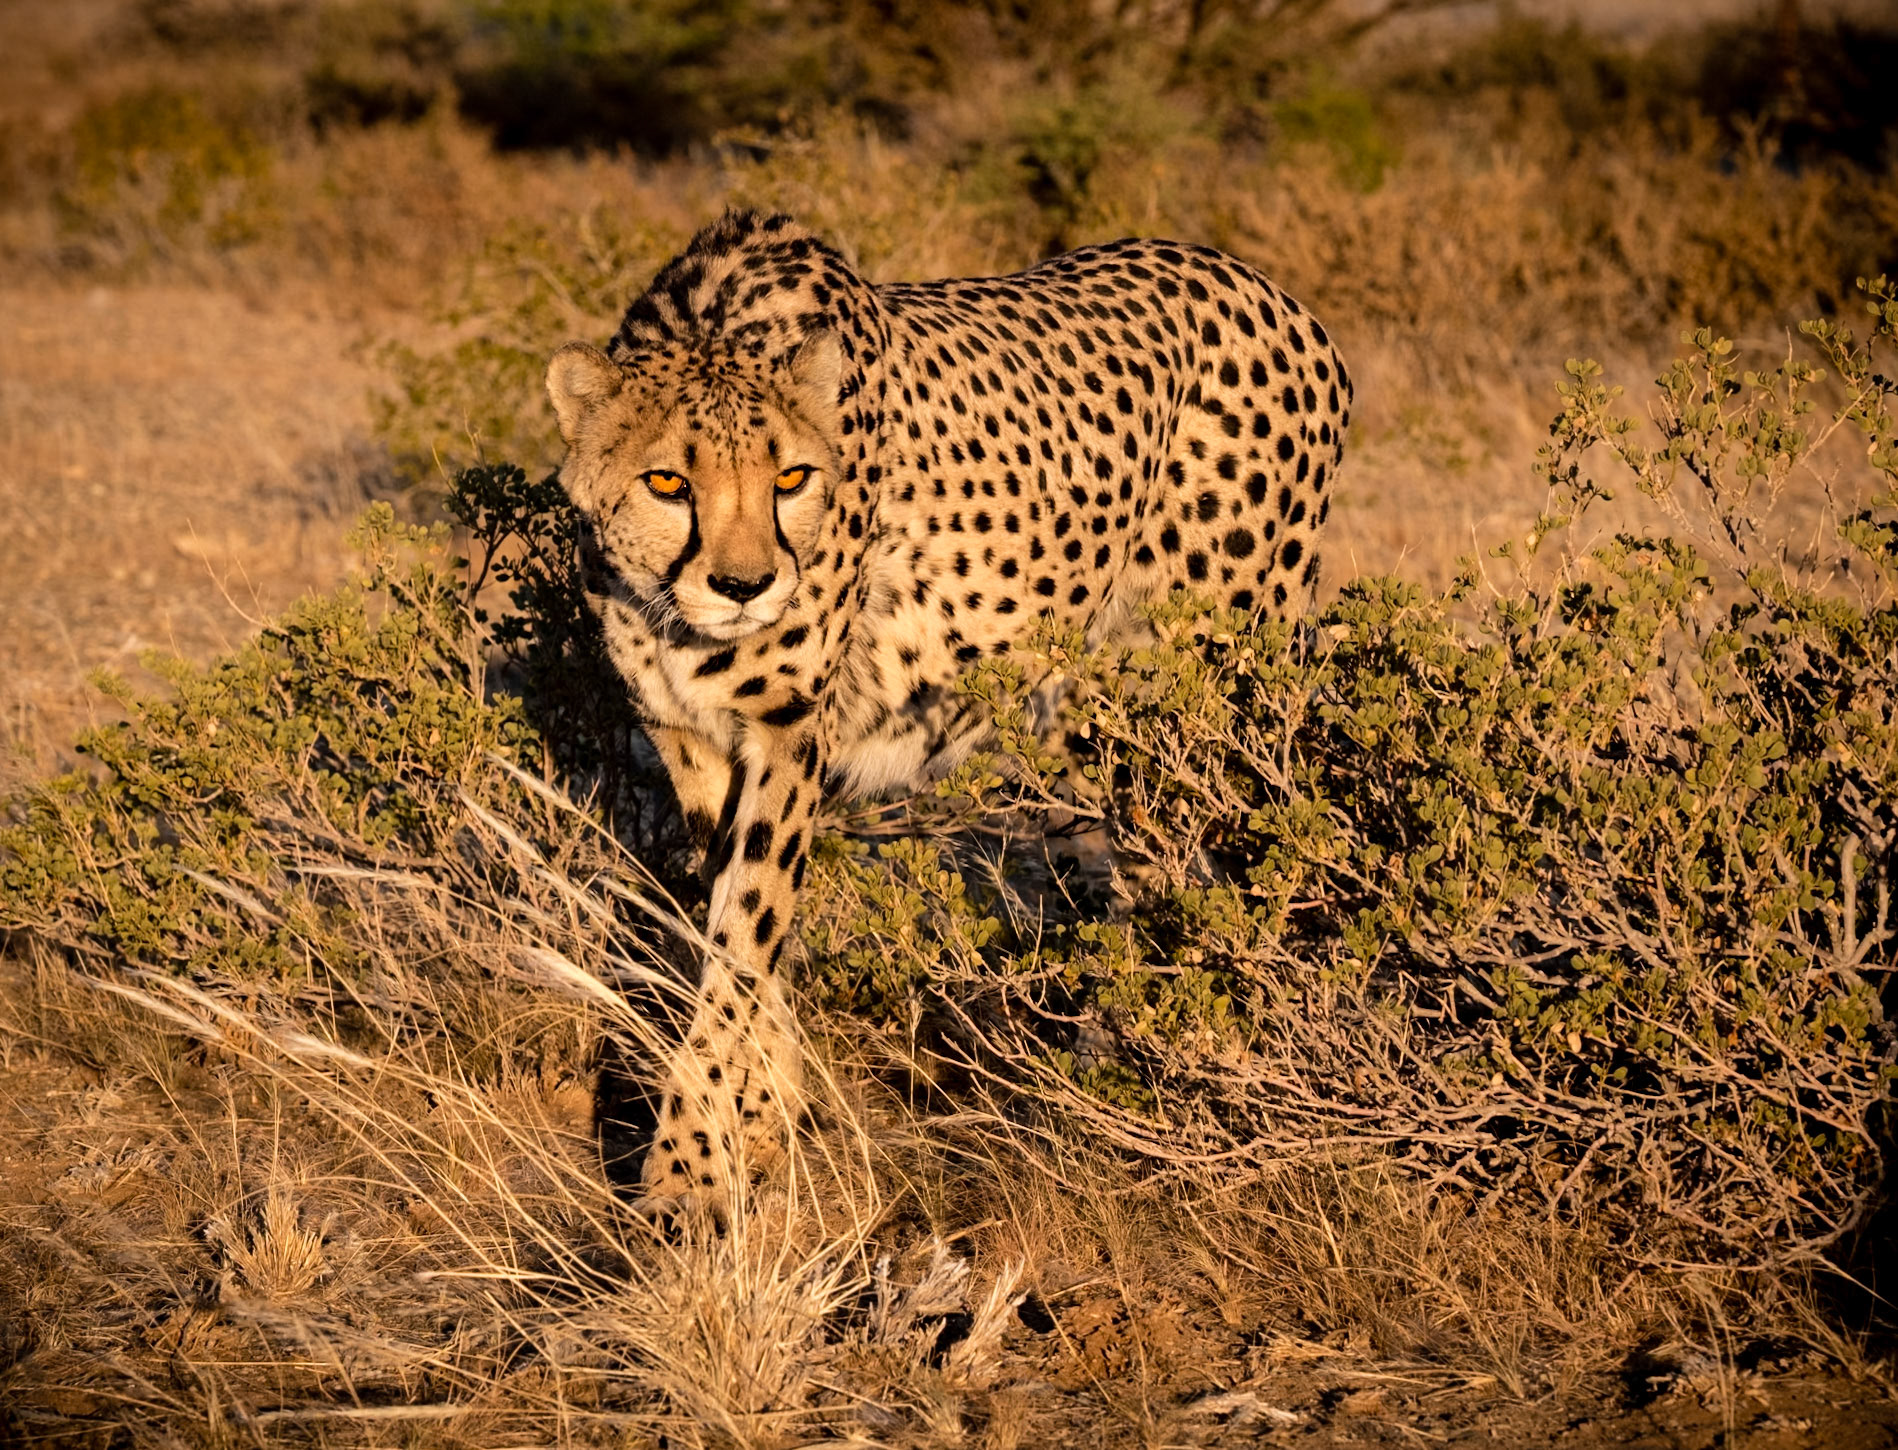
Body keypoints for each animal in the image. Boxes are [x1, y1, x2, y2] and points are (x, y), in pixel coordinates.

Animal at [546, 209, 1350, 1211]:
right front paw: (761, 1128)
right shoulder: (689, 736)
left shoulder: (789, 729)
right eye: (666, 483)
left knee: (1251, 855)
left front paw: (686, 1180)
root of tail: (1257, 282)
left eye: (791, 479)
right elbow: (738, 939)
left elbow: (739, 952)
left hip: (1212, 677)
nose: (745, 586)